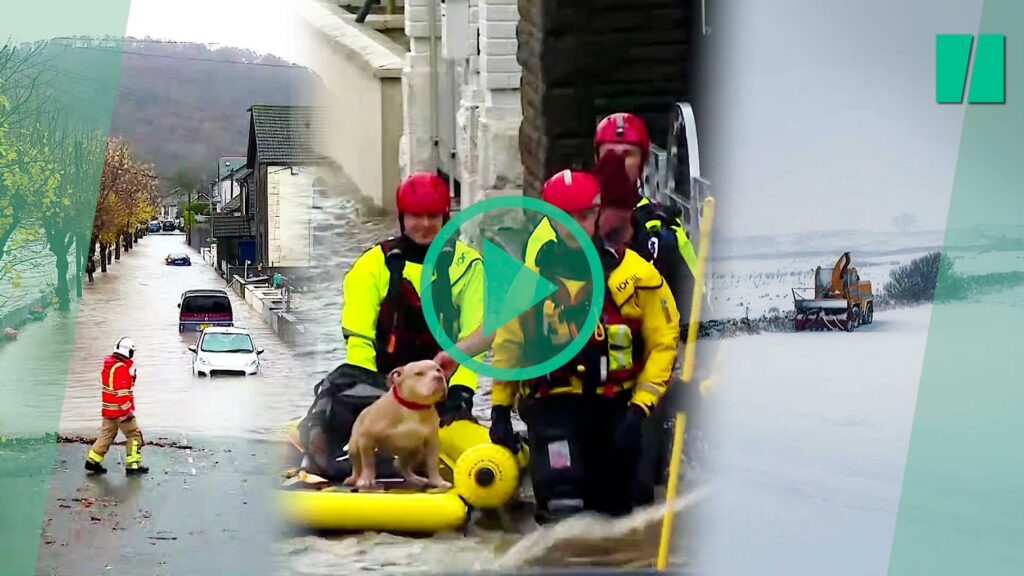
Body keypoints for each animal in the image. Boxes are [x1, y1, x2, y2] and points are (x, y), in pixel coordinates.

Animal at [344, 358, 452, 487]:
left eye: (438, 370)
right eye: (418, 373)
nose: (438, 377)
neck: (413, 406)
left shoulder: (432, 441)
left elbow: (432, 463)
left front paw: (437, 481)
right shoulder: (367, 438)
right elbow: (367, 462)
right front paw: (366, 479)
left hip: (416, 450)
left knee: (403, 466)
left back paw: (415, 478)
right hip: (354, 446)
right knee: (357, 466)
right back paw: (353, 479)